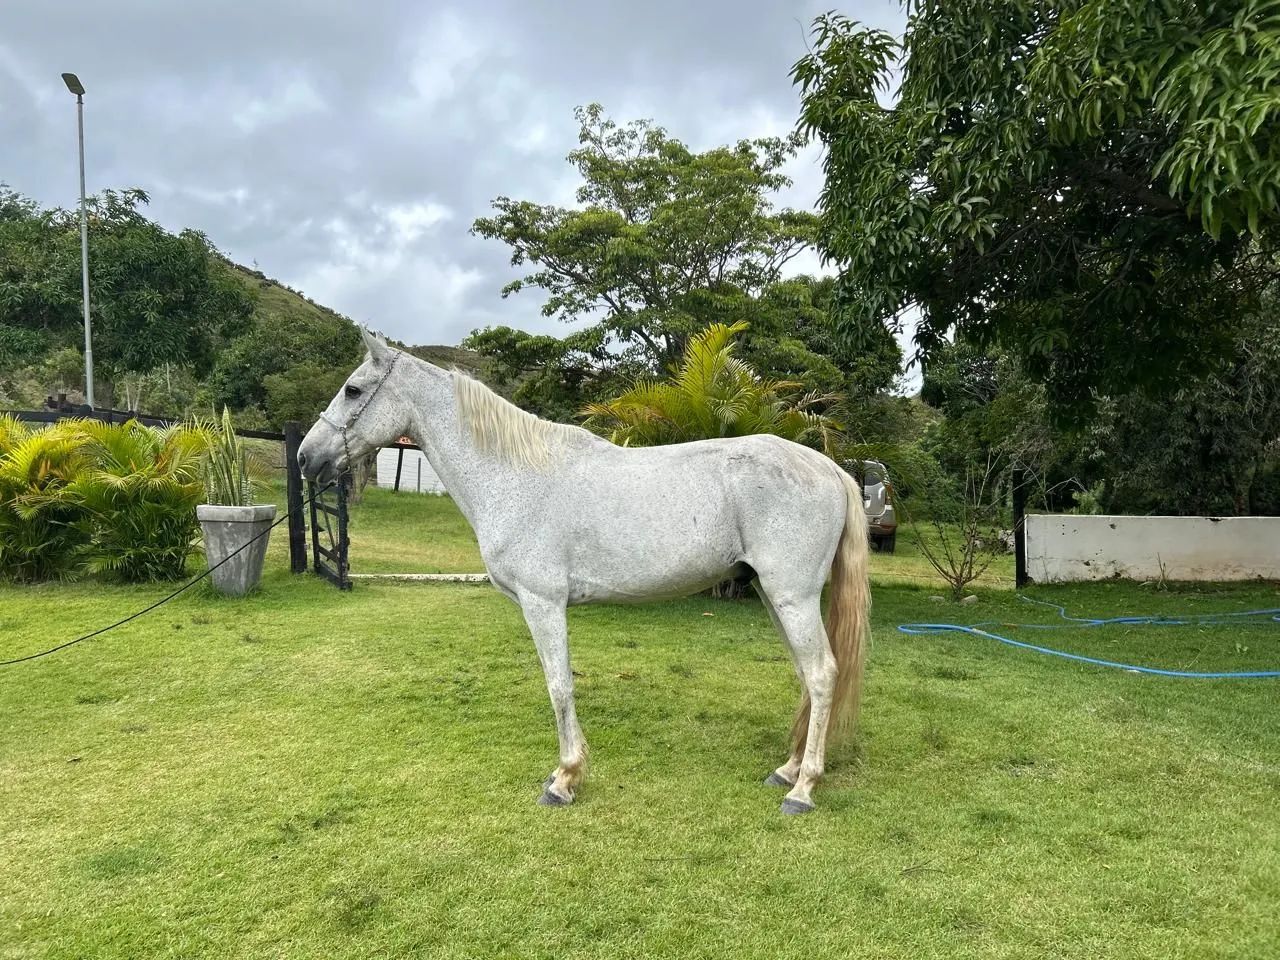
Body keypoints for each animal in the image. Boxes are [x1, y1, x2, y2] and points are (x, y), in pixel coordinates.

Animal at [297, 328, 871, 814]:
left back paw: (803, 788)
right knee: (807, 675)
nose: (306, 458)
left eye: (353, 390)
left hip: (792, 596)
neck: (516, 474)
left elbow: (559, 686)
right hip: (777, 596)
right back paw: (788, 769)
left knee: (822, 674)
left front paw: (565, 779)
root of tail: (830, 468)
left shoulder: (543, 602)